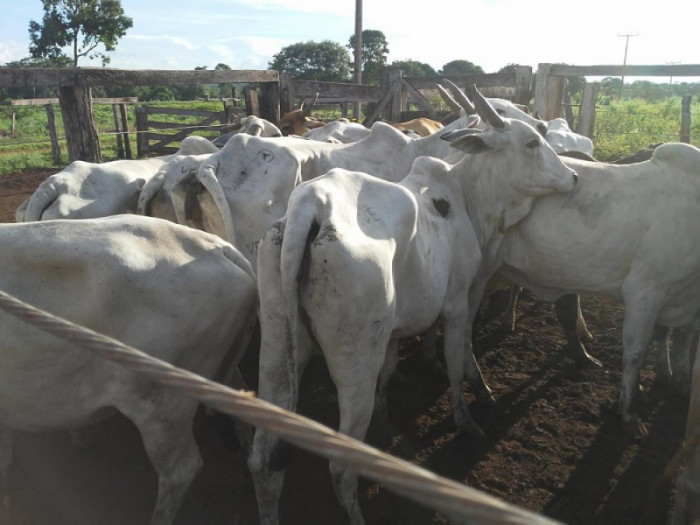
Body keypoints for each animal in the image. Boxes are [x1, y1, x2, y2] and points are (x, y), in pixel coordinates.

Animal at [249, 88, 576, 520]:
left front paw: (387, 414)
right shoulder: (458, 303)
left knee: (262, 459)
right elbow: (455, 361)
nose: (573, 177)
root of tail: (310, 204)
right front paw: (468, 416)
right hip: (354, 366)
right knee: (339, 467)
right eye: (532, 142)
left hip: (276, 351)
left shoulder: (393, 331)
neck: (464, 193)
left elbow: (390, 370)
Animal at [492, 143, 700, 434]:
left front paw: (678, 387)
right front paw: (628, 413)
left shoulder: (687, 303)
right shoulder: (645, 293)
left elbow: (681, 343)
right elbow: (636, 353)